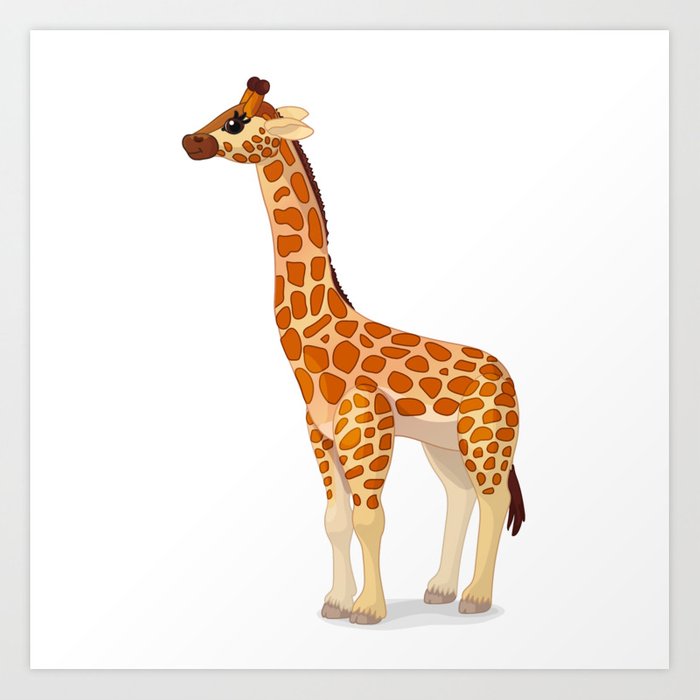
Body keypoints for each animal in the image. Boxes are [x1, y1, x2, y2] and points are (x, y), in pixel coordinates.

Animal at [182, 77, 525, 625]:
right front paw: (335, 603)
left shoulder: (366, 433)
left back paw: (475, 598)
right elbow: (335, 520)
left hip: (487, 438)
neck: (314, 350)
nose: (190, 141)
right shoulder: (321, 437)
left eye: (236, 120)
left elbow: (370, 519)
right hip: (443, 444)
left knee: (491, 501)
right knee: (460, 496)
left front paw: (368, 610)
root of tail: (508, 375)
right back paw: (440, 590)